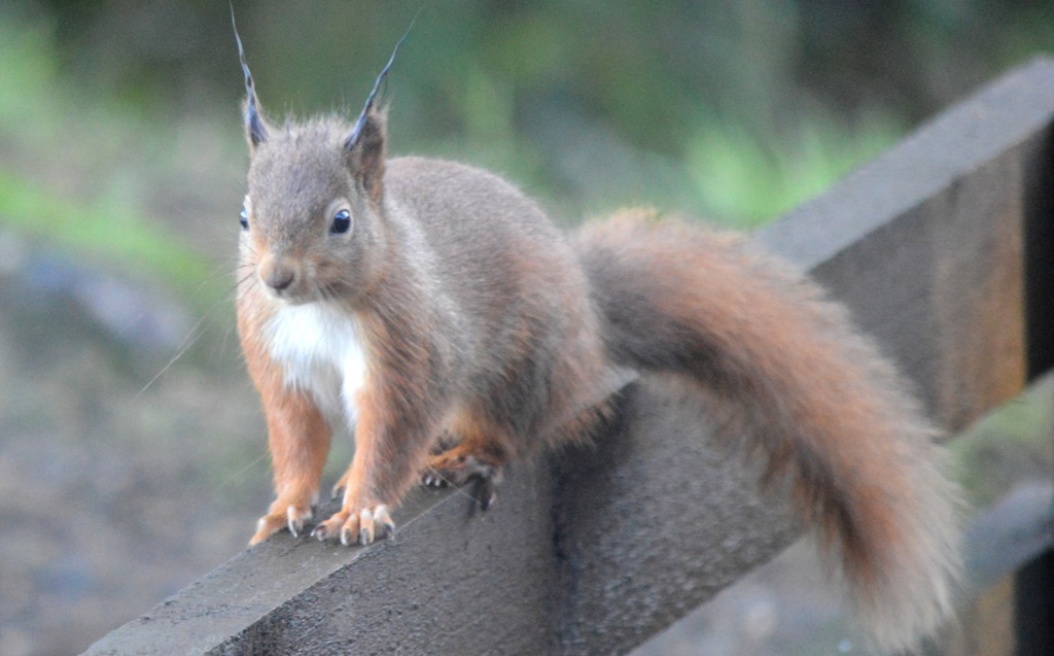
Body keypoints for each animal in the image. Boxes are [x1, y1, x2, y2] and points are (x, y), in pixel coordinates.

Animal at [235, 23, 961, 653]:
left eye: (341, 221)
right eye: (244, 216)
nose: (276, 278)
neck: (320, 307)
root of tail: (590, 316)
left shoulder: (413, 349)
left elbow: (392, 435)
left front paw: (362, 509)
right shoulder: (279, 359)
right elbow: (297, 435)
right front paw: (288, 505)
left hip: (523, 371)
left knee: (515, 434)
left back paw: (467, 455)